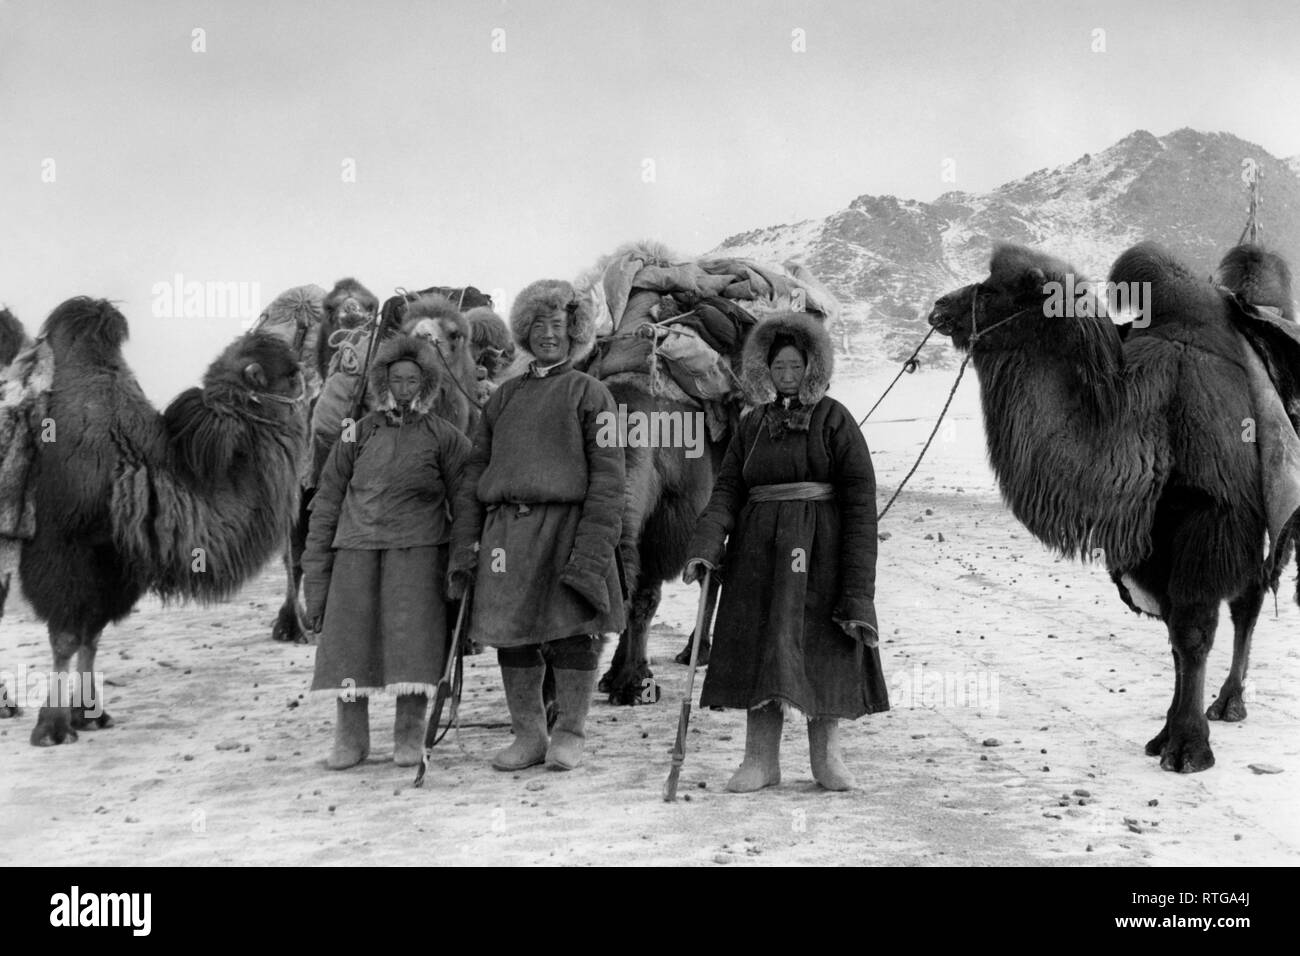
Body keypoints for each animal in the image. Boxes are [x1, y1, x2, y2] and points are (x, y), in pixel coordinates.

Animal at [16, 295, 305, 743]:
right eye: (289, 374)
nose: (310, 378)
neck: (131, 462)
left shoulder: (112, 561)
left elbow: (91, 634)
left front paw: (91, 714)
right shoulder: (62, 548)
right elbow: (65, 635)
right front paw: (52, 728)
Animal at [930, 243, 1300, 775]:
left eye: (993, 289)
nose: (939, 308)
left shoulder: (1214, 518)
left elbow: (1194, 632)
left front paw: (1188, 749)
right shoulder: (1155, 541)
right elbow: (1175, 639)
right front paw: (1163, 736)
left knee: (1247, 604)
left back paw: (1229, 703)